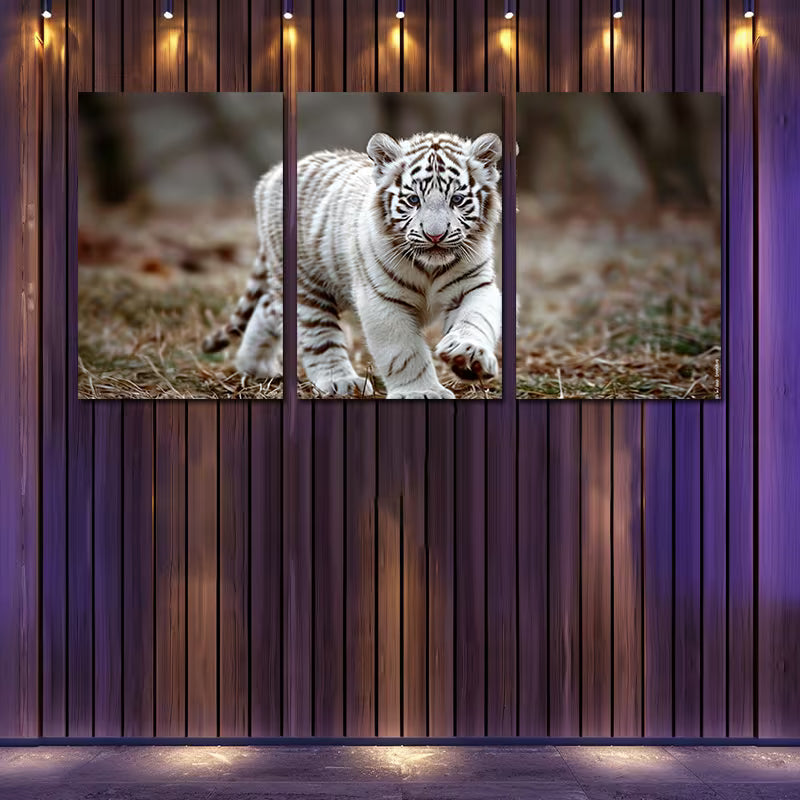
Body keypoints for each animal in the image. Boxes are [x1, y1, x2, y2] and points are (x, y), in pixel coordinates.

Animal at [202, 130, 503, 399]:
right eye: (413, 200)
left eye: (457, 200)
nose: (435, 236)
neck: (430, 267)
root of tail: (271, 175)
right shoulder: (382, 300)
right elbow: (404, 351)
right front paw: (421, 392)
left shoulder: (475, 285)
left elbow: (476, 319)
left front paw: (468, 356)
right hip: (306, 287)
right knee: (318, 338)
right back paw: (342, 382)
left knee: (267, 307)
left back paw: (255, 366)